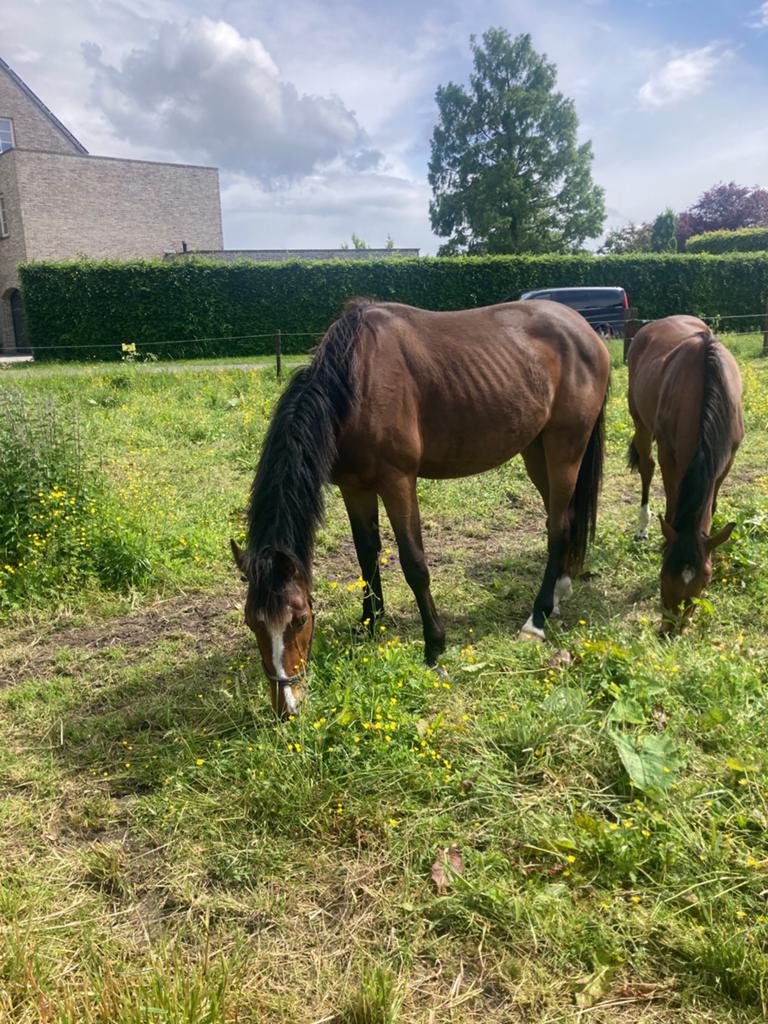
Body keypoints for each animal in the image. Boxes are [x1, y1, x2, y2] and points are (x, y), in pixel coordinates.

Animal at [231, 299, 610, 715]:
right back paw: (560, 588)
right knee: (565, 519)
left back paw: (537, 619)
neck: (355, 383)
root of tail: (585, 329)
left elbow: (414, 564)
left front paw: (434, 648)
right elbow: (366, 556)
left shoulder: (397, 482)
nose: (287, 707)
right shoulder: (355, 487)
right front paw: (369, 624)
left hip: (565, 448)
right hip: (536, 450)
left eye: (299, 619)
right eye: (252, 622)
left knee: (557, 527)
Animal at [627, 315, 743, 632]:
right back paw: (642, 528)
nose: (671, 630)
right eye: (663, 575)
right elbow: (671, 499)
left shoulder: (726, 461)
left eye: (705, 579)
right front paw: (665, 539)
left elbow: (711, 505)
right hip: (640, 421)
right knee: (646, 467)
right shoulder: (669, 452)